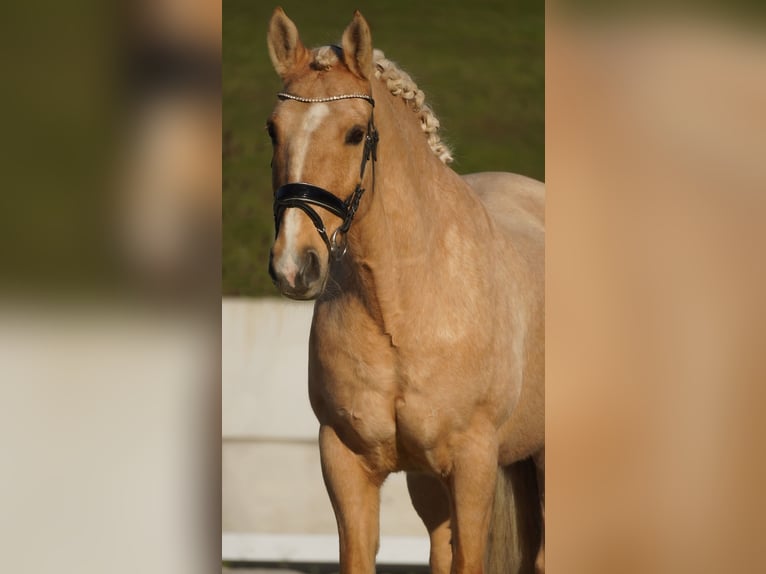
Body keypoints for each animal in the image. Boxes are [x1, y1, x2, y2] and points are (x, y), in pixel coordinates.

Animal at [265, 8, 545, 573]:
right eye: (272, 130)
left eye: (356, 134)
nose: (293, 266)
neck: (404, 306)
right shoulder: (346, 462)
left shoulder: (474, 464)